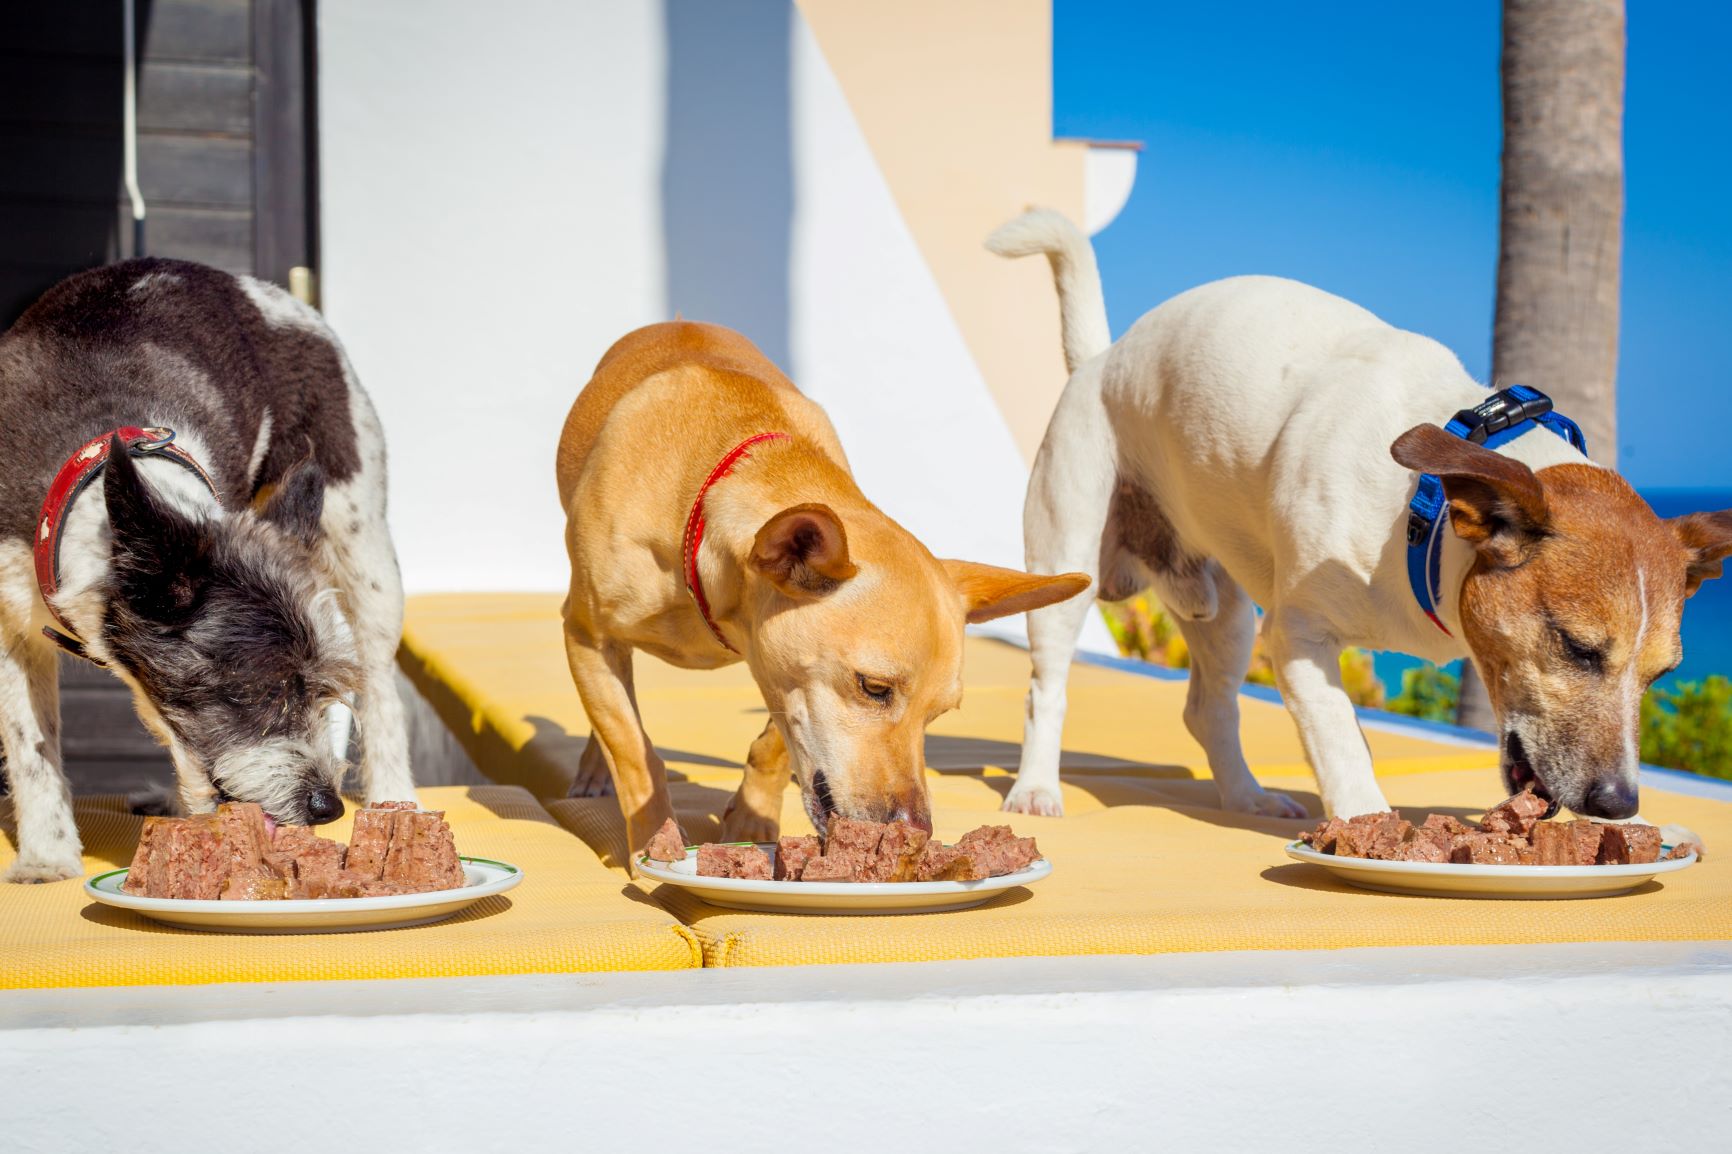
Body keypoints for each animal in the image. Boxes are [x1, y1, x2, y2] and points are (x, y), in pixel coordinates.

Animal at [0, 256, 412, 876]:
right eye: (264, 692)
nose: (327, 807)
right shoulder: (9, 615)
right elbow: (31, 742)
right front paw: (47, 857)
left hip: (361, 536)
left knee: (383, 679)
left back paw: (398, 799)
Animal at [561, 318, 1087, 859]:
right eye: (874, 688)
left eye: (938, 714)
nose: (916, 832)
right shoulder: (586, 637)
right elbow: (634, 752)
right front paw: (653, 839)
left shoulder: (779, 670)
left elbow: (775, 744)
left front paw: (752, 821)